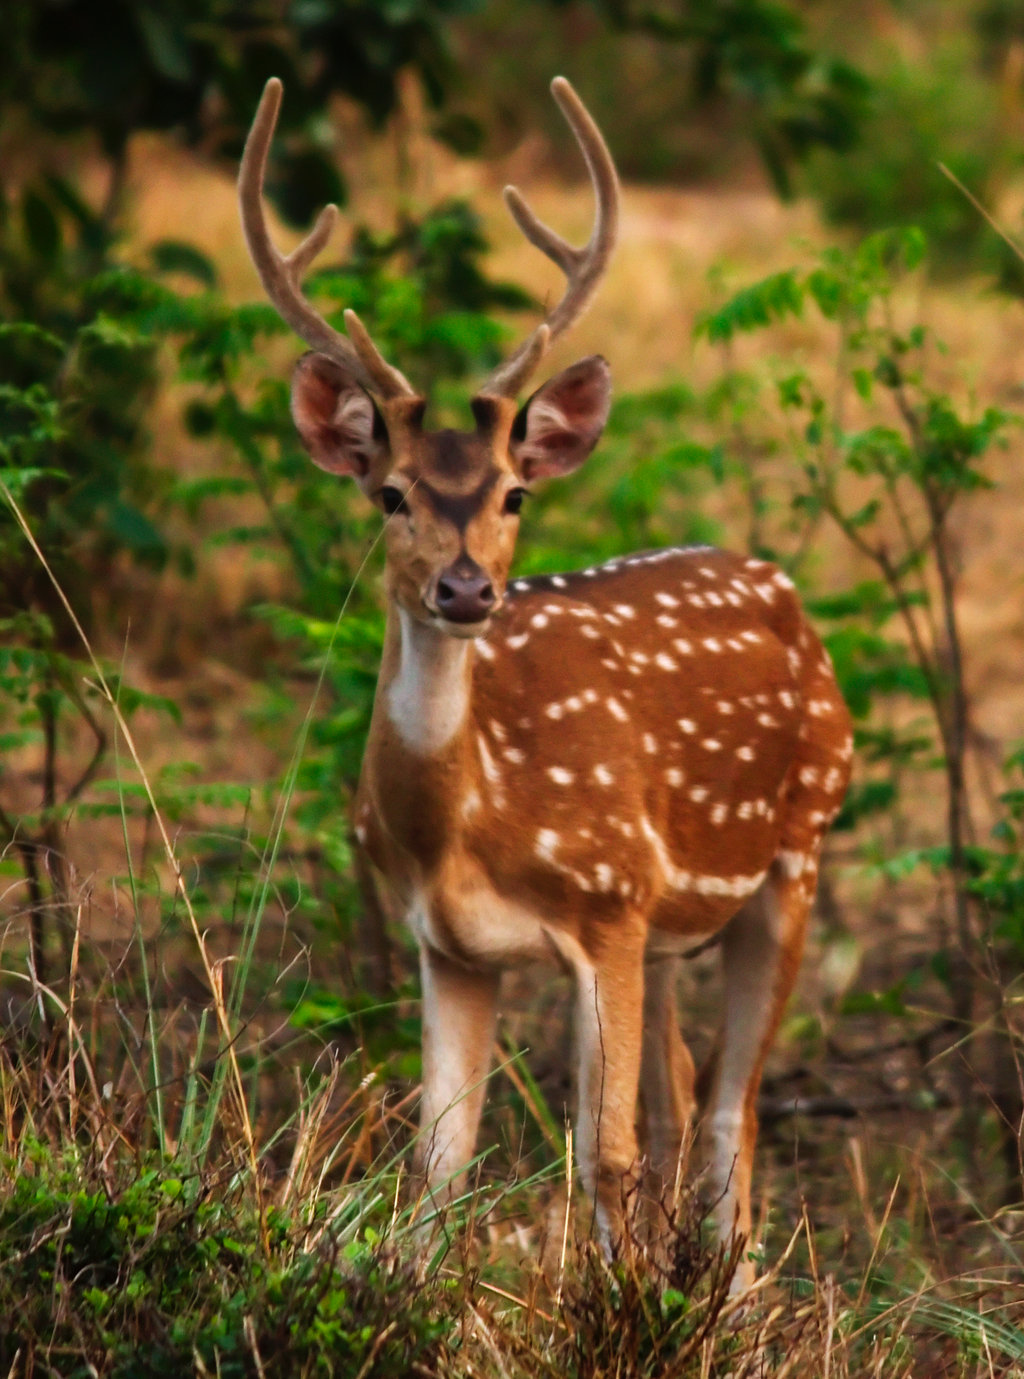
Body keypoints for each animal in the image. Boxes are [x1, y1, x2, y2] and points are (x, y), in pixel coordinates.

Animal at [238, 72, 848, 1279]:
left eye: (514, 493)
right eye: (391, 495)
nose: (468, 588)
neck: (468, 815)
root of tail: (782, 586)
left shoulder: (604, 901)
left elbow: (600, 1154)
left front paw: (620, 1304)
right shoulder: (446, 941)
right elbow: (439, 1160)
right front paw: (416, 1292)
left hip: (796, 844)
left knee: (731, 1108)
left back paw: (727, 1291)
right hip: (670, 919)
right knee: (683, 1090)